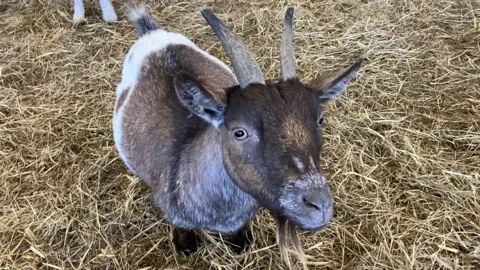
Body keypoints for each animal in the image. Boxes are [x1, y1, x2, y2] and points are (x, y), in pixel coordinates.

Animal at [112, 5, 364, 266]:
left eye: (320, 119)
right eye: (239, 132)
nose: (319, 205)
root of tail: (153, 34)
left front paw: (239, 244)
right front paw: (185, 247)